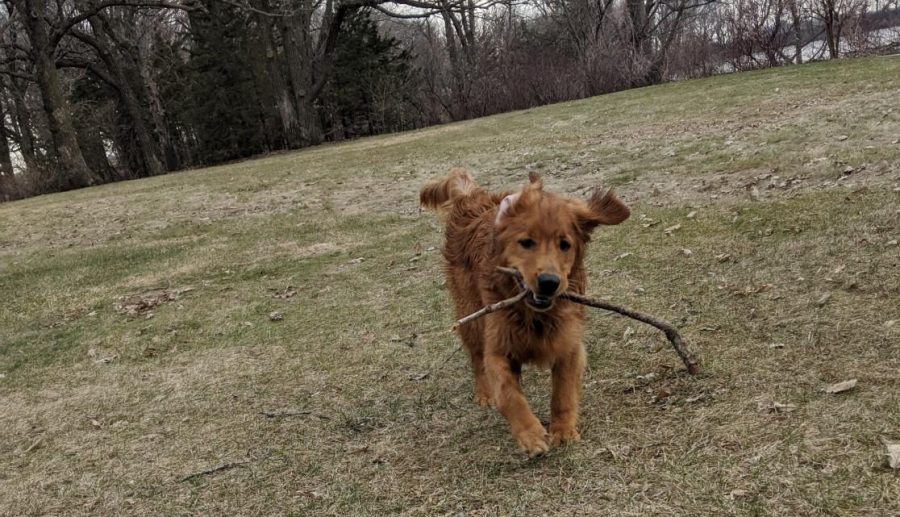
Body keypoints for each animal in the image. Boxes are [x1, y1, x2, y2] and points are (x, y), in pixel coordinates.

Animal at [418, 167, 628, 454]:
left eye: (565, 244)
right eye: (526, 242)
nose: (549, 282)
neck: (534, 315)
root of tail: (472, 199)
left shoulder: (569, 344)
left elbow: (563, 391)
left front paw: (563, 429)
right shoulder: (497, 347)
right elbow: (508, 393)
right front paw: (530, 434)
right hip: (471, 315)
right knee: (475, 357)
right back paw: (483, 393)